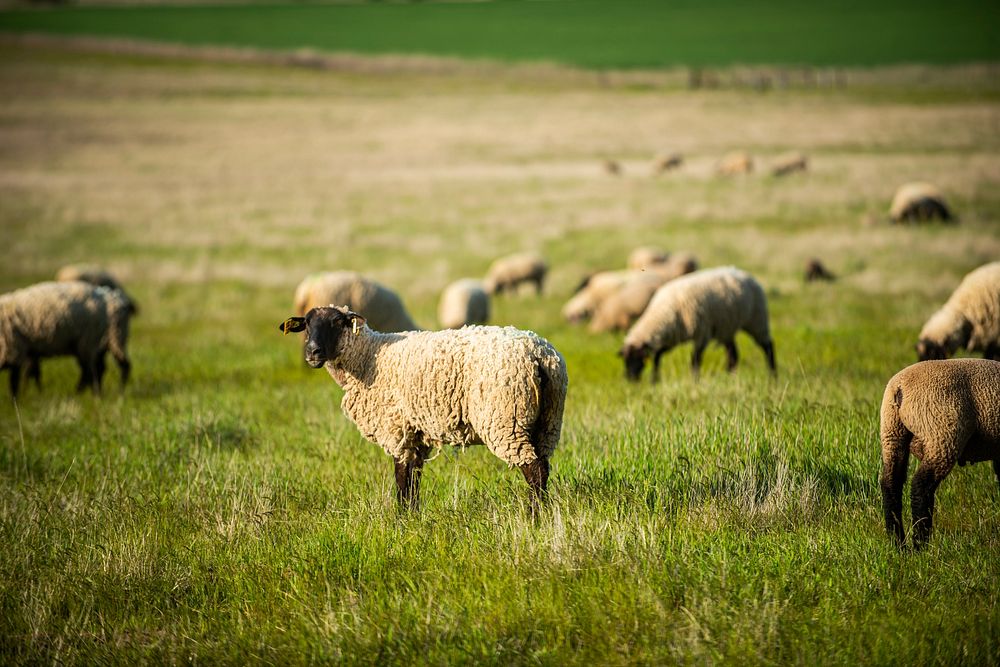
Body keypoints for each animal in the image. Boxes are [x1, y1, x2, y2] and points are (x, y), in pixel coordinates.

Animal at [0, 280, 132, 396]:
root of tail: (116, 298)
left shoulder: (15, 350)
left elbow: (15, 382)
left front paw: (18, 400)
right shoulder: (28, 351)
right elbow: (32, 373)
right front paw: (32, 393)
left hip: (98, 340)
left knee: (105, 368)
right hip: (101, 343)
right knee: (99, 368)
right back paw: (97, 393)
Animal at [280, 306, 572, 508]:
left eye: (337, 322)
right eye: (307, 325)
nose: (313, 353)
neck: (367, 357)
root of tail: (539, 353)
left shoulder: (396, 429)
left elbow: (402, 479)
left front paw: (400, 521)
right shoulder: (415, 433)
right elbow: (413, 479)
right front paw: (412, 517)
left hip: (505, 419)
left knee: (533, 469)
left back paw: (534, 517)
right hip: (548, 421)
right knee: (544, 467)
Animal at [620, 266, 776, 380]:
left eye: (636, 358)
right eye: (625, 360)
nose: (630, 379)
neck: (663, 312)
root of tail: (745, 273)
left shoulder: (702, 333)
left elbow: (695, 360)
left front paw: (695, 380)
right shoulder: (673, 336)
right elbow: (658, 356)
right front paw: (655, 380)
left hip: (756, 320)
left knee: (767, 346)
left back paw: (773, 375)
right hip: (727, 327)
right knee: (733, 355)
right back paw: (730, 376)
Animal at [880, 358, 996, 552]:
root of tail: (899, 386)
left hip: (892, 432)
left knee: (890, 483)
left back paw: (898, 543)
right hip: (941, 434)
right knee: (921, 486)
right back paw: (920, 545)